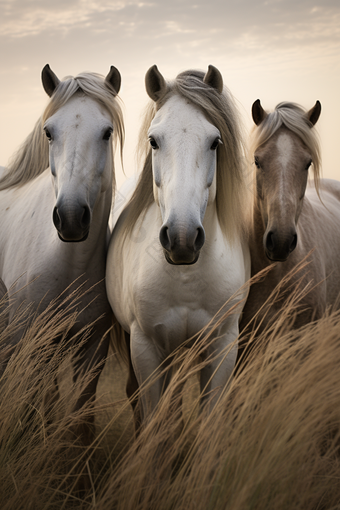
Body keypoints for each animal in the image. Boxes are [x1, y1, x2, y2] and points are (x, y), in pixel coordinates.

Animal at [0, 64, 124, 446]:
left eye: (106, 132)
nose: (70, 217)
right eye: (49, 132)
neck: (68, 263)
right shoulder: (28, 342)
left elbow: (81, 422)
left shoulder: (92, 349)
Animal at [107, 65, 251, 424]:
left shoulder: (222, 346)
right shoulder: (145, 347)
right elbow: (154, 421)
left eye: (215, 142)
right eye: (153, 141)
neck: (187, 278)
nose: (182, 239)